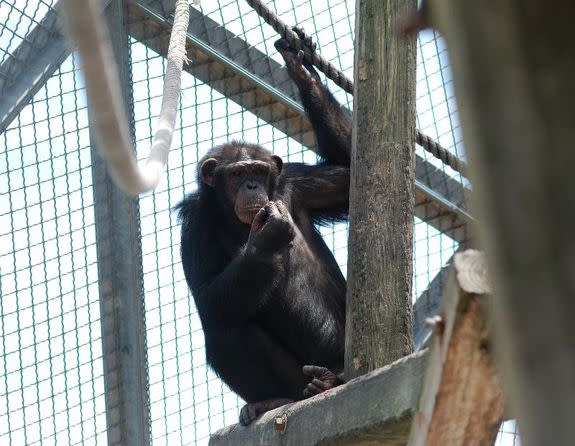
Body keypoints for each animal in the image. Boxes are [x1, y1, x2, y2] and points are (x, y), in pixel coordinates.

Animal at [178, 32, 352, 426]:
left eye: (258, 171)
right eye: (237, 174)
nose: (253, 186)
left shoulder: (298, 184)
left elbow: (353, 175)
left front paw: (301, 69)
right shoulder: (193, 227)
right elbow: (209, 297)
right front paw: (267, 239)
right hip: (299, 376)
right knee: (226, 329)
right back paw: (274, 400)